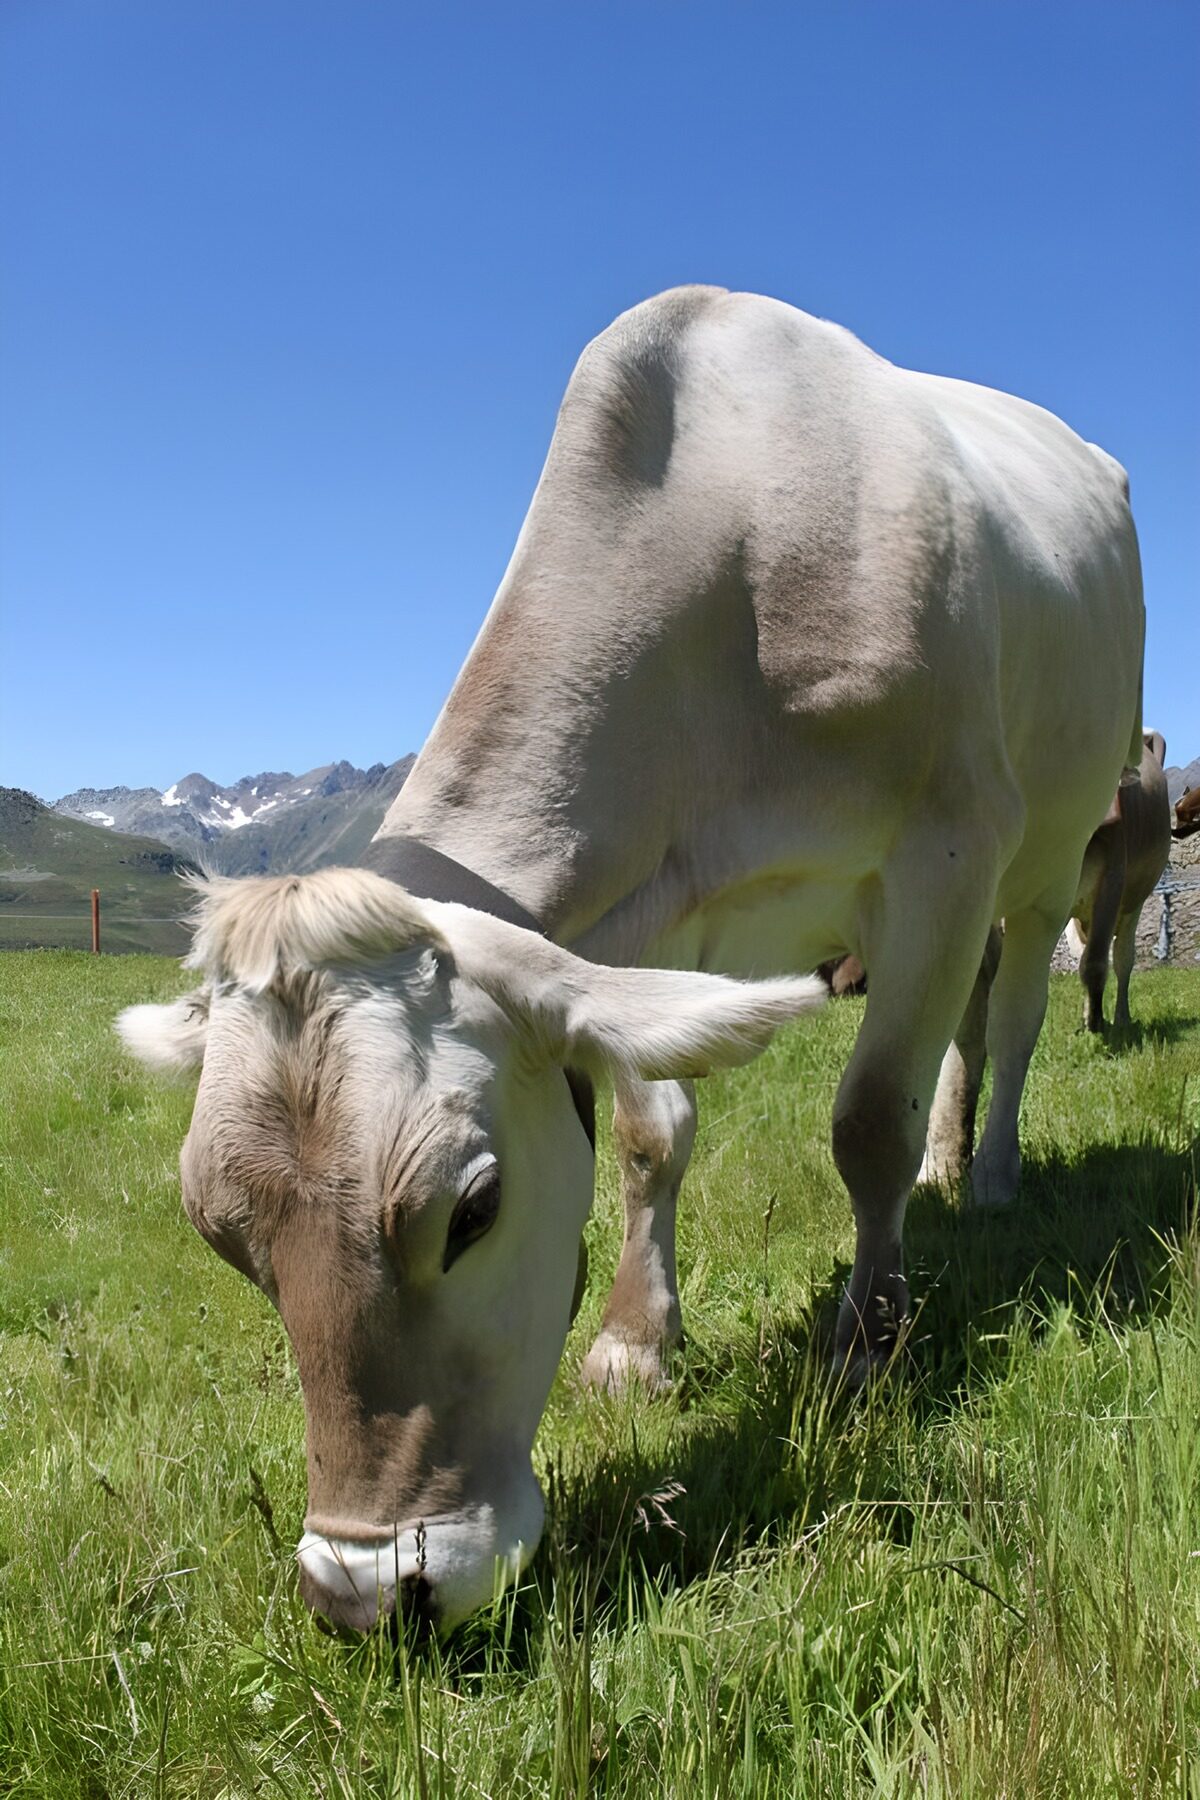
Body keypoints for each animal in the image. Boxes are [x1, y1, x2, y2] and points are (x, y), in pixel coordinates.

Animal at [118, 287, 1145, 1637]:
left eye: (474, 1210)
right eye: (220, 1236)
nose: (368, 1594)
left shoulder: (949, 847)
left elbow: (866, 1117)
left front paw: (865, 1350)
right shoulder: (659, 917)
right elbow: (654, 1132)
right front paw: (635, 1344)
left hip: (1048, 853)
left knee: (1016, 1014)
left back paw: (992, 1176)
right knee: (970, 1029)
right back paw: (948, 1161)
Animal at [1068, 731, 1171, 1030]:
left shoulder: (1112, 883)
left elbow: (1095, 963)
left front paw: (1096, 1027)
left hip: (1132, 903)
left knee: (1123, 957)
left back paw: (1120, 1018)